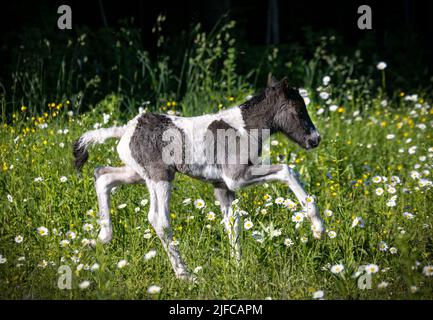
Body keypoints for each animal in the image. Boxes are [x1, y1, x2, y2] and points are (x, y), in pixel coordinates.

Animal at [73, 77, 324, 280]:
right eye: (298, 110)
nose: (315, 139)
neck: (244, 128)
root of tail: (127, 129)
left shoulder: (222, 186)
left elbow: (233, 222)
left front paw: (238, 268)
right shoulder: (236, 177)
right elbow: (288, 171)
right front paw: (318, 227)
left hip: (136, 173)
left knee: (102, 175)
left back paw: (99, 239)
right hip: (160, 176)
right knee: (158, 219)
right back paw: (186, 275)